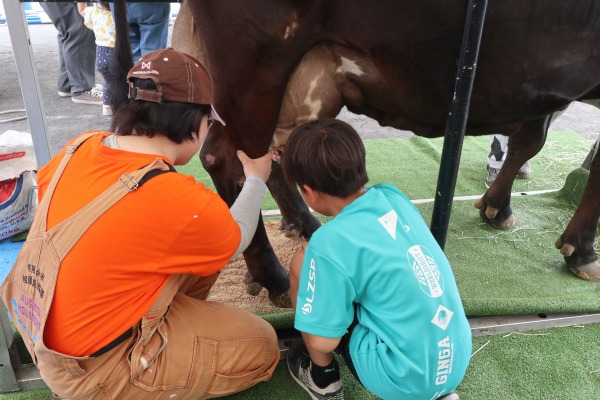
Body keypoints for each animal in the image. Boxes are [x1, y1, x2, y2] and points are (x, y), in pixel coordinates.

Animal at [110, 0, 600, 308]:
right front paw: (581, 250)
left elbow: (529, 140)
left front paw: (497, 207)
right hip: (254, 62)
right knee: (229, 157)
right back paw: (271, 274)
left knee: (265, 154)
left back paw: (301, 226)